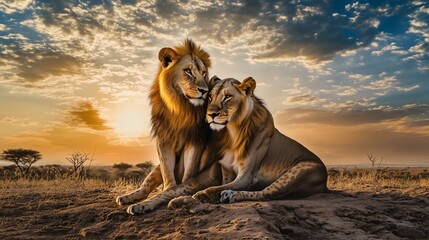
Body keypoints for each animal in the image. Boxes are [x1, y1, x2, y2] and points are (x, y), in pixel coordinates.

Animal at [116, 39, 211, 208]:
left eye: (204, 72)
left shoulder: (195, 140)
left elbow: (189, 171)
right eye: (188, 71)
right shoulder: (163, 138)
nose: (204, 91)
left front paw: (181, 191)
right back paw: (127, 198)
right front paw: (169, 189)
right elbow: (167, 171)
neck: (180, 107)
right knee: (145, 187)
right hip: (155, 170)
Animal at [123, 76, 328, 215]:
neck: (232, 133)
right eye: (210, 97)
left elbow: (213, 189)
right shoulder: (225, 170)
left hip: (299, 171)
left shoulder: (246, 176)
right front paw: (143, 204)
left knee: (266, 193)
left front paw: (201, 196)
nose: (211, 114)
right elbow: (172, 189)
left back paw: (230, 195)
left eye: (228, 97)